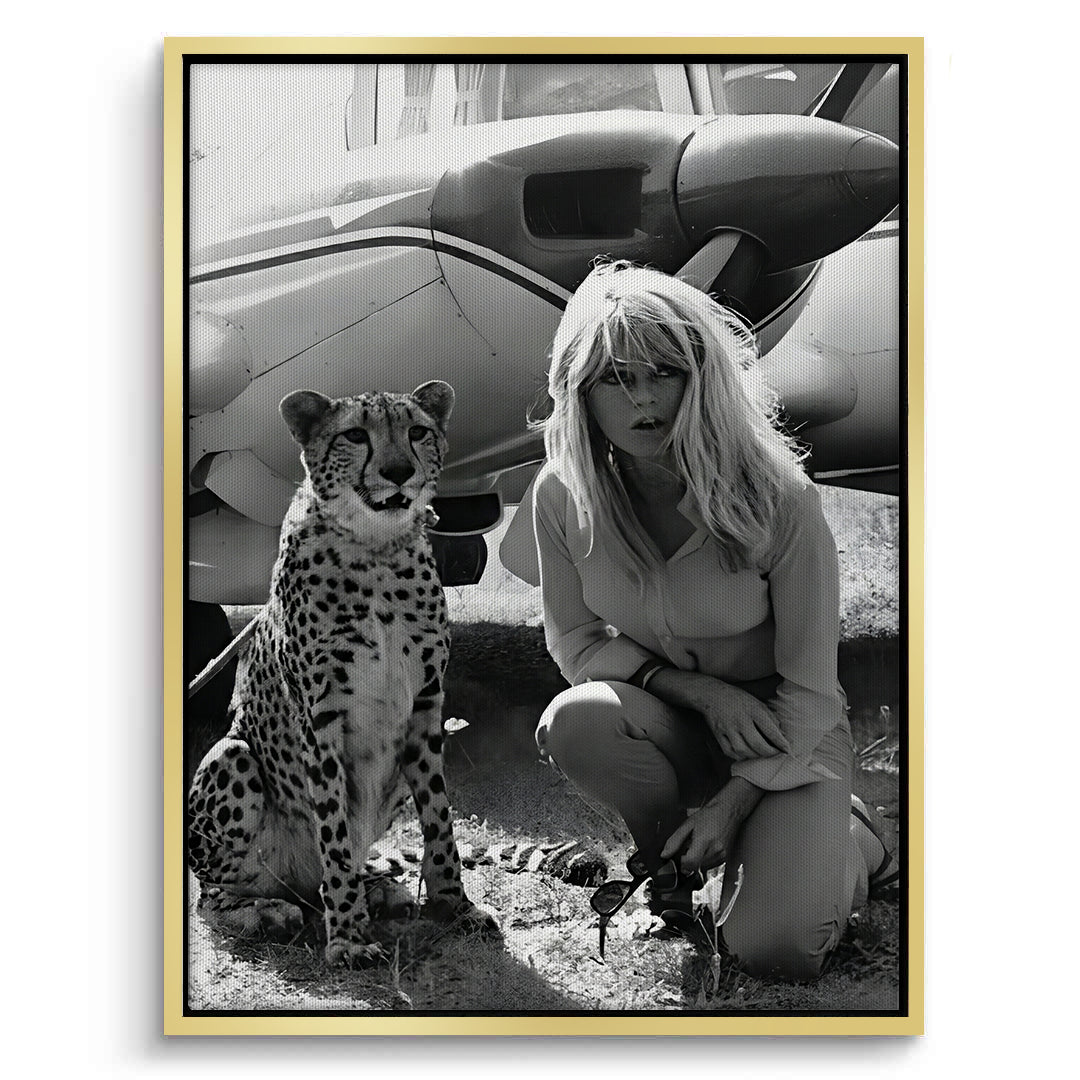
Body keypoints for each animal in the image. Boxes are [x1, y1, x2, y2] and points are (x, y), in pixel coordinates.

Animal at [187, 380, 497, 967]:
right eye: (355, 435)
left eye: (417, 431)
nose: (398, 471)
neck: (376, 548)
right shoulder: (321, 717)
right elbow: (333, 822)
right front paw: (349, 936)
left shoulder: (427, 707)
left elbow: (439, 819)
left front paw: (455, 904)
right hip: (232, 757)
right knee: (215, 894)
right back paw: (266, 911)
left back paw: (375, 884)